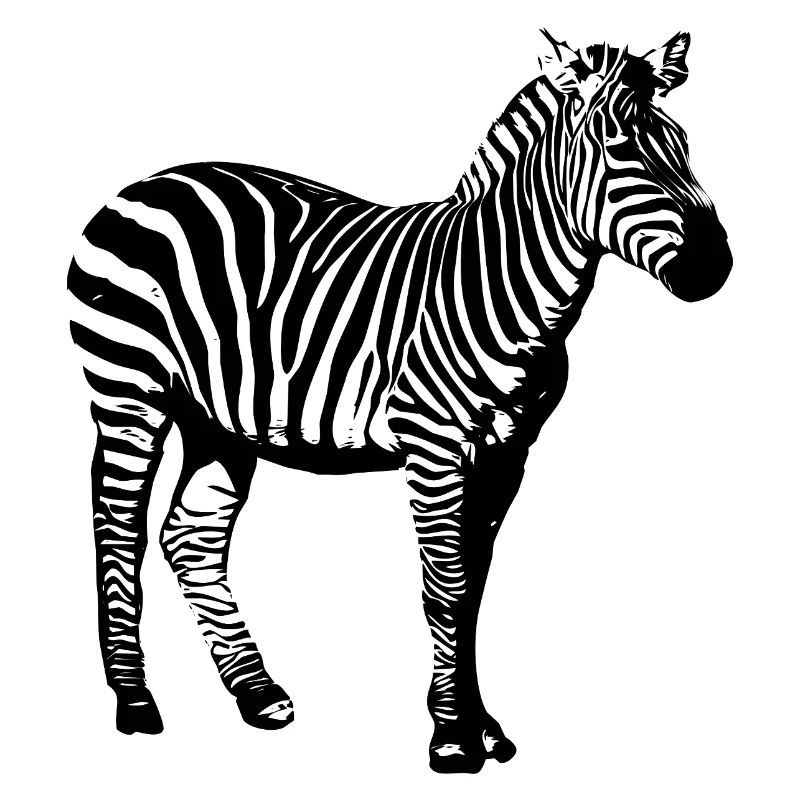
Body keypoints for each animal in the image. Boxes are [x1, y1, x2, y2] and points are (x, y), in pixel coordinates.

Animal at [68, 31, 732, 773]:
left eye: (683, 143)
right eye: (619, 148)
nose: (716, 267)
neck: (504, 283)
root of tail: (146, 182)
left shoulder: (507, 453)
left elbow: (474, 589)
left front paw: (483, 727)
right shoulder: (432, 445)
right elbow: (446, 589)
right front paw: (451, 738)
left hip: (221, 420)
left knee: (191, 538)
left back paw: (257, 692)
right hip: (129, 389)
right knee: (116, 529)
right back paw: (135, 703)